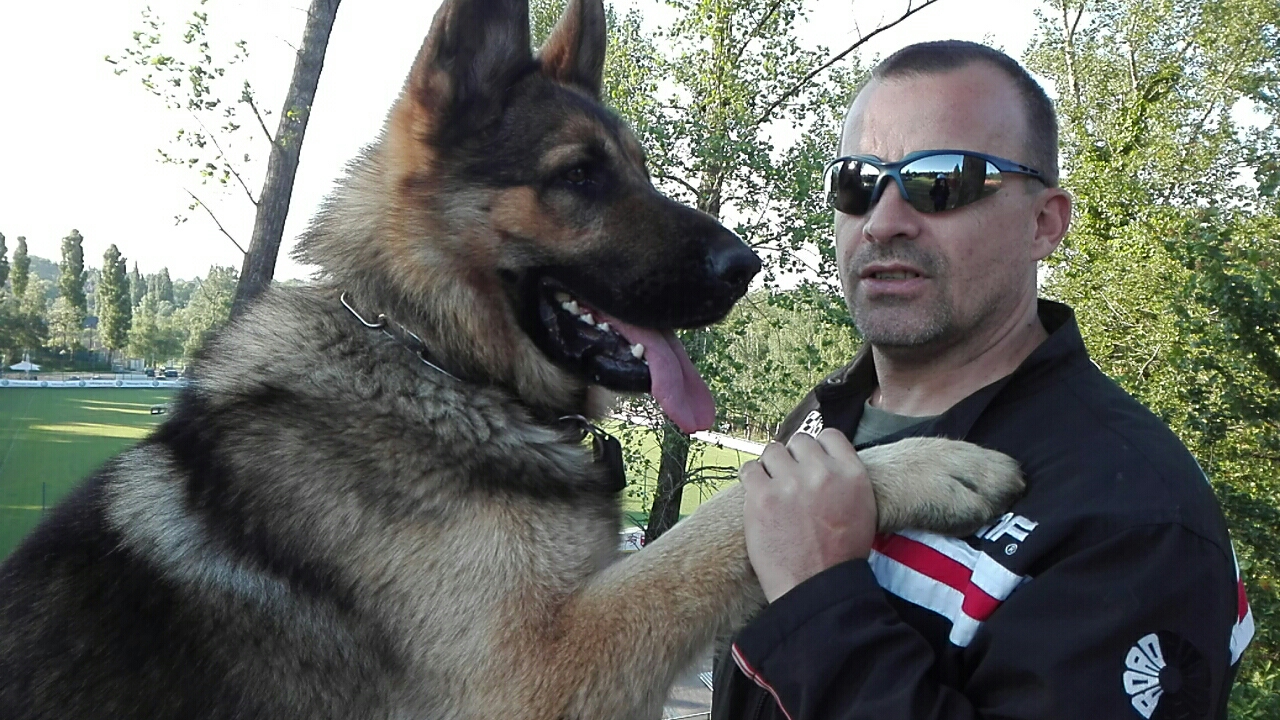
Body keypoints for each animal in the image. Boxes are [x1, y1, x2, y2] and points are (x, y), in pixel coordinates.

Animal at [0, 0, 1023, 717]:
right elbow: (718, 522)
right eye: (579, 177)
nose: (747, 269)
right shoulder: (541, 673)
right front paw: (928, 465)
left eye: (637, 168)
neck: (437, 363)